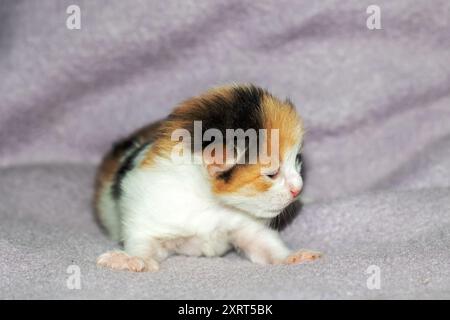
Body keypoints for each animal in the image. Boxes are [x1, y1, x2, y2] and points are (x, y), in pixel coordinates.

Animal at [95, 84, 322, 272]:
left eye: (297, 161)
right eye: (272, 174)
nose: (298, 189)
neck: (210, 202)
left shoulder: (244, 226)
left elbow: (265, 243)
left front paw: (293, 257)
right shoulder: (151, 217)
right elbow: (144, 242)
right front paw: (131, 259)